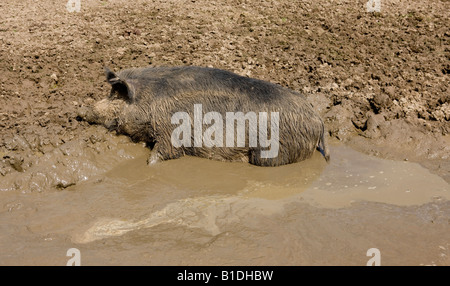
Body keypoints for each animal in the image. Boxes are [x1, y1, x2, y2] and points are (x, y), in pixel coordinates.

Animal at [79, 65, 328, 166]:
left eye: (115, 97)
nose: (81, 111)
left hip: (271, 152)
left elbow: (164, 153)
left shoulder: (170, 131)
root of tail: (318, 120)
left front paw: (149, 165)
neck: (151, 100)